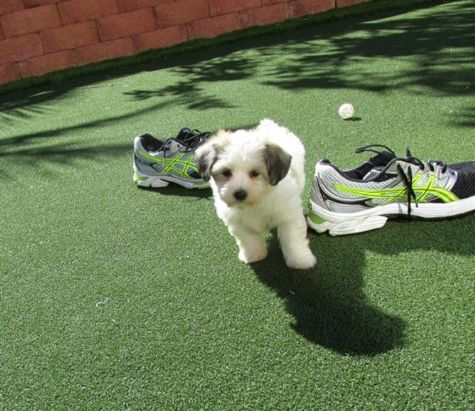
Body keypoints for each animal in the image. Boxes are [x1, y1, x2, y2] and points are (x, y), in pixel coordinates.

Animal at [195, 119, 318, 270]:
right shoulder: (236, 222)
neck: (256, 200)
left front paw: (300, 260)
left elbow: (292, 238)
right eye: (226, 172)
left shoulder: (288, 215)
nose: (239, 193)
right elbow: (248, 239)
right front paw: (254, 254)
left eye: (255, 173)